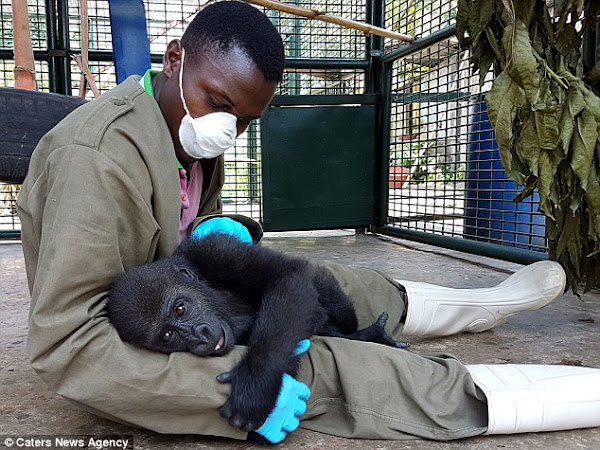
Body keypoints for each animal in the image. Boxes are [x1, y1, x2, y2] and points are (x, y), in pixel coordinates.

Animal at [108, 234, 408, 430]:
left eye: (180, 309)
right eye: (168, 337)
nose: (199, 337)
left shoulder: (216, 250)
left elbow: (288, 276)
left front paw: (256, 383)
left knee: (329, 294)